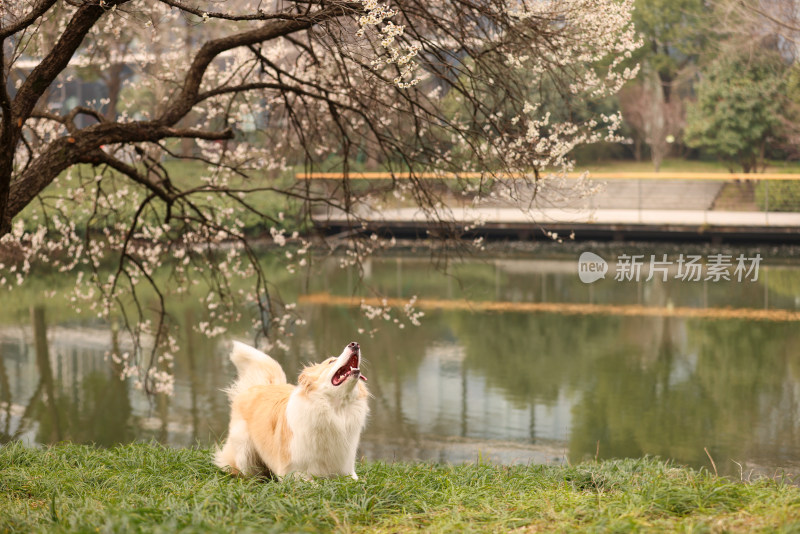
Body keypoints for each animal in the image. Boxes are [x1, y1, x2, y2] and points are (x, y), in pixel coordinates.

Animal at [216, 342, 372, 484]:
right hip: (244, 451)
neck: (335, 411)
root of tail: (262, 385)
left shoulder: (346, 470)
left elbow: (357, 481)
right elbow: (313, 484)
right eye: (331, 361)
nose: (355, 344)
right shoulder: (293, 472)